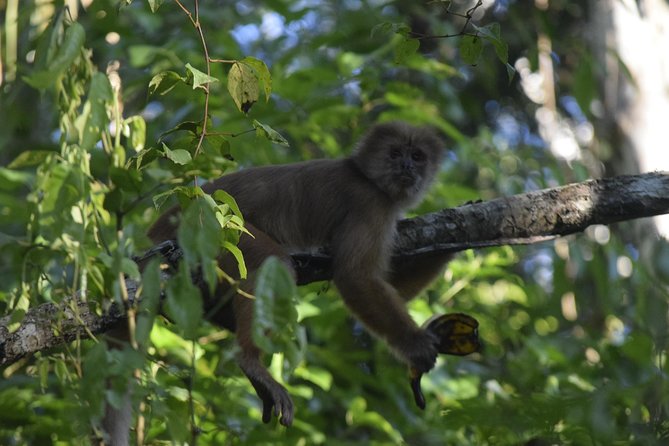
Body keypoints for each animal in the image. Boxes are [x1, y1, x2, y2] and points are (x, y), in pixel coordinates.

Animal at [147, 120, 452, 426]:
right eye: (396, 153)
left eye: (417, 156)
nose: (407, 166)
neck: (367, 177)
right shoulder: (370, 204)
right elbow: (354, 276)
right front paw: (414, 344)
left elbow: (394, 288)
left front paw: (451, 243)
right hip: (215, 231)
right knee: (273, 263)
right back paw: (250, 360)